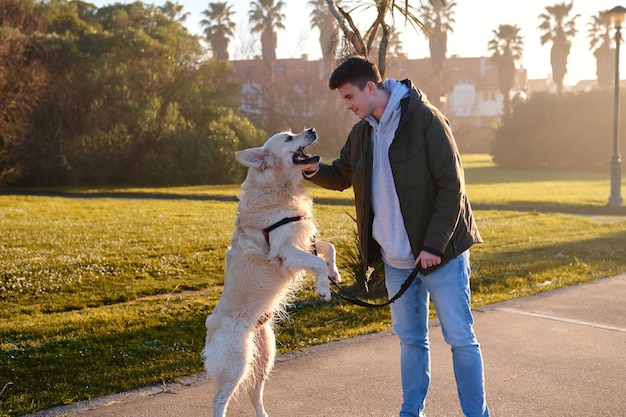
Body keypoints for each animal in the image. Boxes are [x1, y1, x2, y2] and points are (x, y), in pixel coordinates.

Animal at [201, 127, 338, 416]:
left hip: (265, 356)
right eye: (288, 138)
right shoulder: (284, 251)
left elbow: (327, 248)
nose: (312, 129)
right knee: (218, 400)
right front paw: (323, 288)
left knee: (254, 392)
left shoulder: (303, 240)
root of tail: (209, 329)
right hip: (236, 363)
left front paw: (334, 274)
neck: (278, 187)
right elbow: (317, 261)